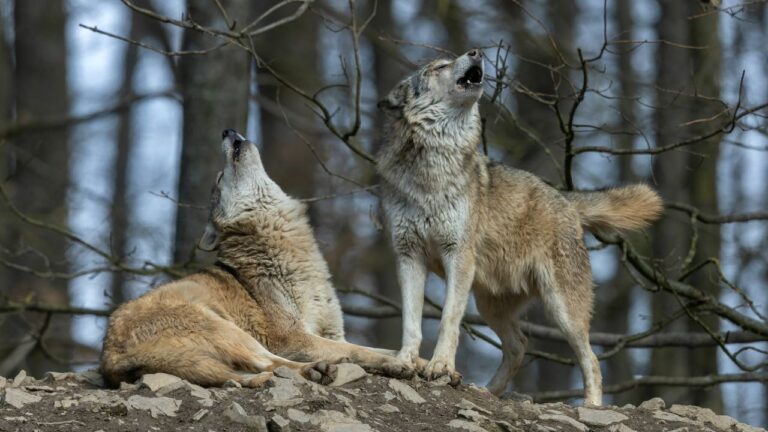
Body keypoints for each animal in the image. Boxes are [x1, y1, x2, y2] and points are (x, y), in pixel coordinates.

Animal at [101, 129, 413, 387]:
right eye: (219, 178)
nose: (227, 130)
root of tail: (108, 357)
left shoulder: (333, 332)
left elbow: (375, 348)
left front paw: (415, 361)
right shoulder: (293, 337)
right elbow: (356, 350)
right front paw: (394, 363)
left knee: (248, 371)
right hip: (228, 329)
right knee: (271, 363)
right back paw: (314, 369)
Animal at [376, 49, 662, 405]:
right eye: (439, 66)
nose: (476, 52)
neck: (431, 168)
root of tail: (566, 199)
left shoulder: (458, 256)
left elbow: (448, 320)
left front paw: (440, 366)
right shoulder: (408, 256)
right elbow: (411, 322)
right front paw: (404, 361)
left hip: (562, 309)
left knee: (591, 360)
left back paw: (591, 406)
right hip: (489, 305)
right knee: (519, 346)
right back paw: (488, 391)